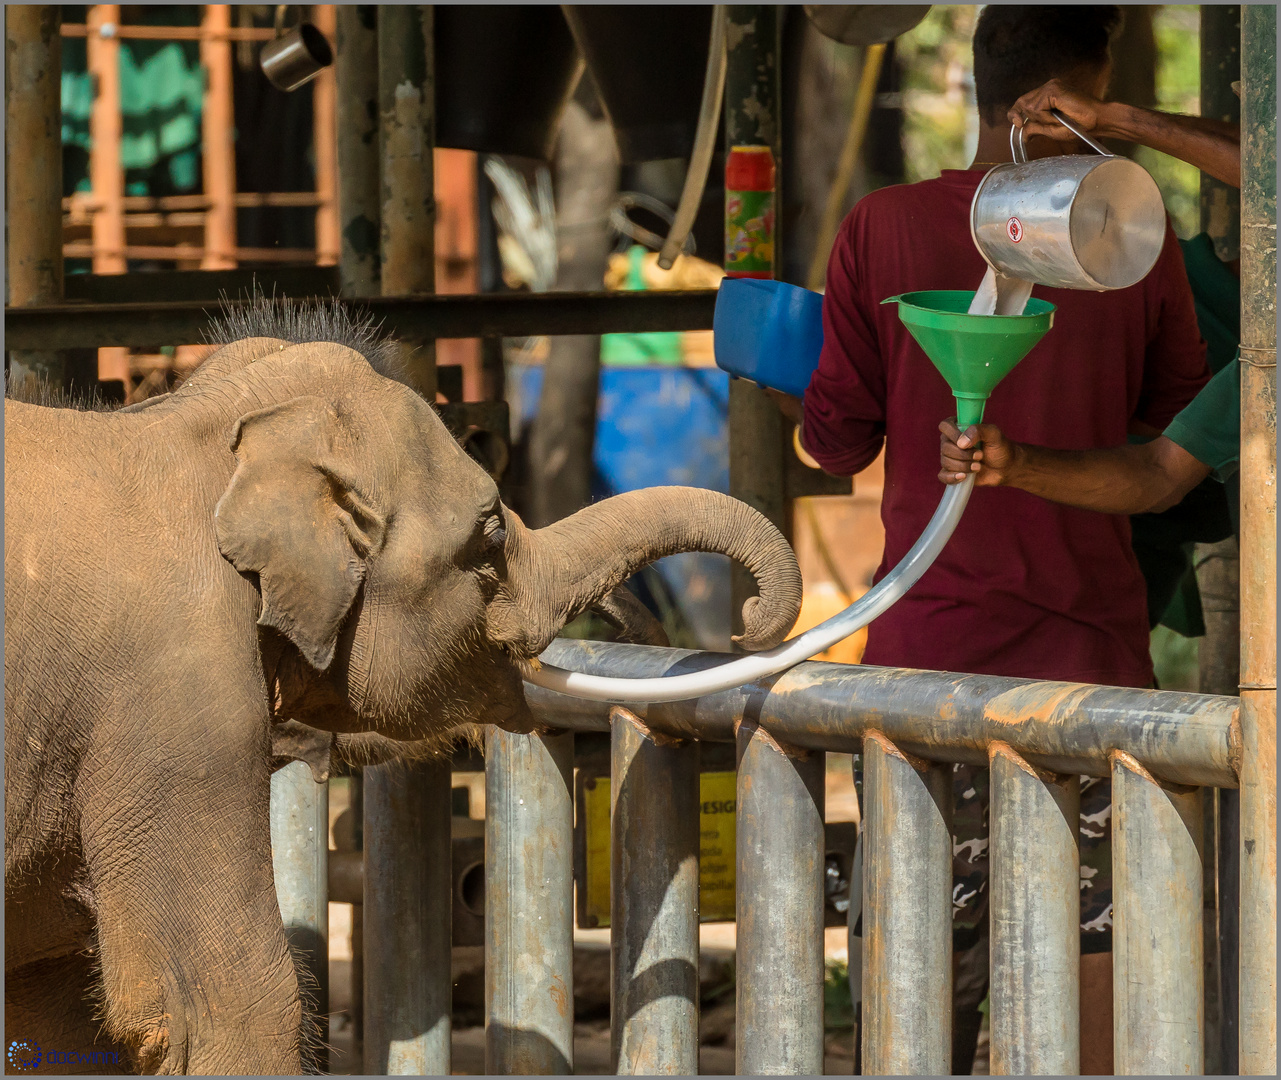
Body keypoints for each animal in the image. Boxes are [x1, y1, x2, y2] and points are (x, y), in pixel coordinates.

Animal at [5, 299, 799, 1076]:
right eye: (489, 538)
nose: (747, 628)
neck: (191, 429)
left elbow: (48, 1004)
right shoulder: (177, 706)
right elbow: (230, 1001)